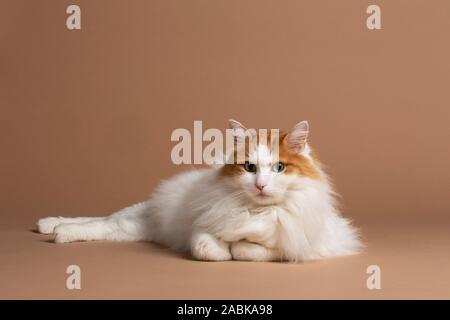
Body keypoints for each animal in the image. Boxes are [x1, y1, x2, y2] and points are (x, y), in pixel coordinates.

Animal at [36, 119, 362, 262]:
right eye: (249, 168)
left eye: (279, 168)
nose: (260, 185)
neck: (255, 211)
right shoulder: (201, 225)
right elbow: (208, 248)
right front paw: (223, 247)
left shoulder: (301, 245)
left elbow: (251, 249)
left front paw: (237, 246)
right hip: (132, 219)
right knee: (98, 221)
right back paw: (52, 227)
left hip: (133, 228)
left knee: (102, 225)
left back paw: (53, 229)